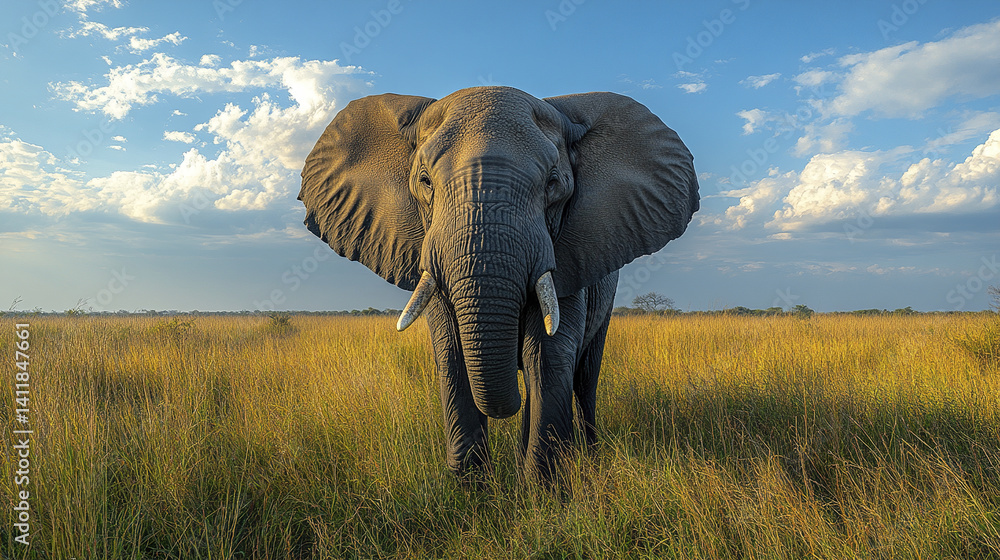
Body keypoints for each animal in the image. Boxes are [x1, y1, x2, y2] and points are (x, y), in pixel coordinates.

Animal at [298, 86, 699, 481]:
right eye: (425, 182)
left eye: (553, 184)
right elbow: (451, 354)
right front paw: (472, 490)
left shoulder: (571, 259)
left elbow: (547, 357)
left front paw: (542, 490)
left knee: (585, 377)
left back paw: (588, 456)